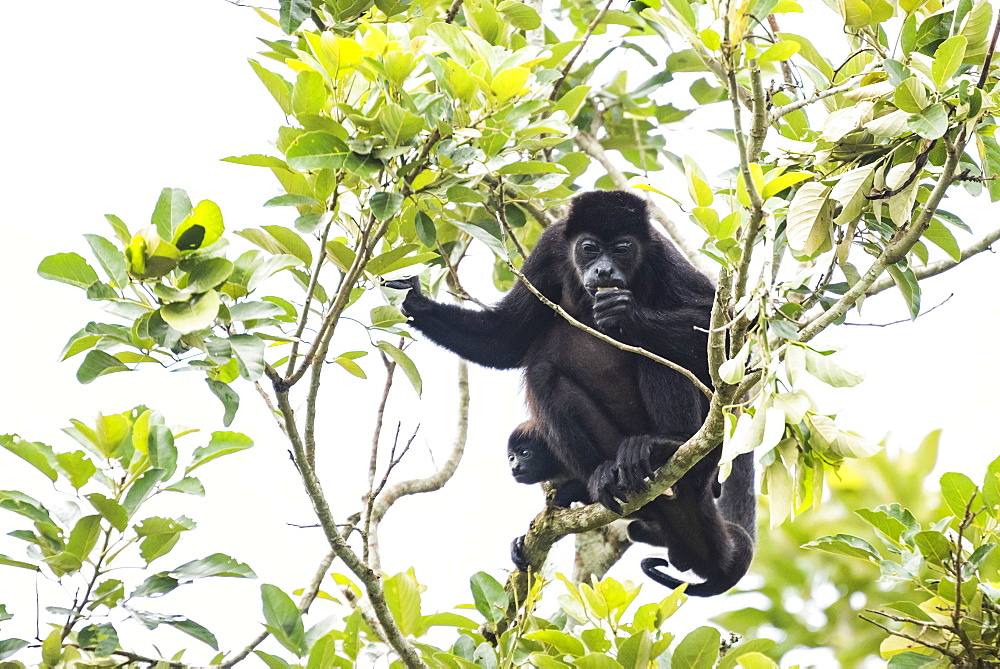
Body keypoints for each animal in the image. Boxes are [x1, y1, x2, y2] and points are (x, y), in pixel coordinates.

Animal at [388, 188, 756, 596]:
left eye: (623, 249)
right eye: (589, 249)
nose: (604, 271)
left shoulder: (661, 253)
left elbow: (728, 328)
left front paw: (627, 314)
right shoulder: (549, 248)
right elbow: (506, 337)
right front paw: (414, 300)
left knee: (661, 353)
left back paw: (667, 444)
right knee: (542, 374)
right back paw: (601, 478)